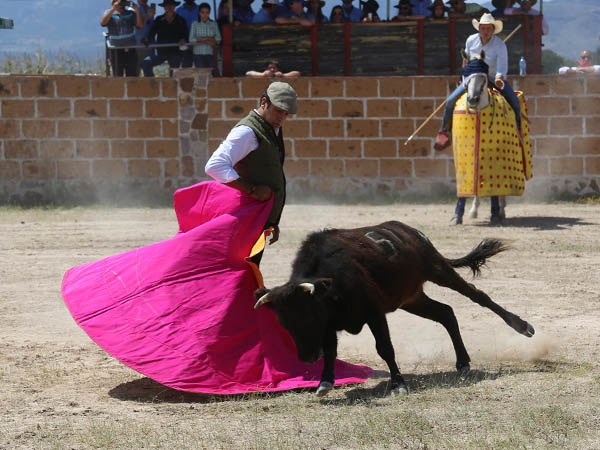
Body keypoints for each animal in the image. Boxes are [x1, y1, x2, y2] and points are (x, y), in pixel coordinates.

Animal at [254, 221, 535, 397]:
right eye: (285, 323)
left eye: (308, 316)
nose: (307, 357)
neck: (333, 282)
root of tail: (411, 231)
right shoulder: (331, 325)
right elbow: (332, 352)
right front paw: (325, 383)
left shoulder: (374, 313)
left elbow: (385, 348)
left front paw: (399, 384)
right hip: (411, 298)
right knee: (446, 312)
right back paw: (463, 362)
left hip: (438, 270)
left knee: (478, 296)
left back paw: (523, 327)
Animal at [450, 52, 532, 226]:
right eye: (466, 75)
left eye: (483, 77)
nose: (472, 99)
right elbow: (467, 184)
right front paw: (458, 215)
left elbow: (495, 188)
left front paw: (495, 213)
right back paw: (474, 209)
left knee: (501, 191)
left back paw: (501, 210)